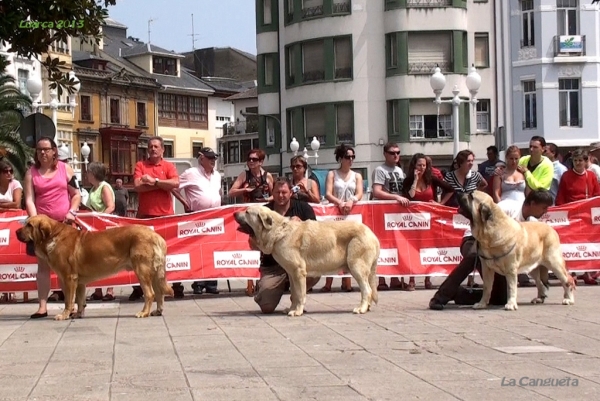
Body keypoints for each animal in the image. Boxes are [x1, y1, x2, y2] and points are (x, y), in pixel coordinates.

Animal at [17, 216, 171, 318]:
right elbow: (79, 300)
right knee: (159, 293)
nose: (17, 232)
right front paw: (78, 314)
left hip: (142, 271)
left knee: (150, 294)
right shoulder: (78, 281)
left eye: (29, 225)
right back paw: (158, 311)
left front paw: (65, 315)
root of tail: (156, 236)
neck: (53, 236)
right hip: (155, 273)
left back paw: (143, 312)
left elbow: (68, 300)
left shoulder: (68, 278)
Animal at [234, 206, 380, 316]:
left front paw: (297, 311)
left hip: (356, 266)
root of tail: (372, 234)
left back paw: (361, 308)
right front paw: (292, 309)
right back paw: (366, 307)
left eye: (247, 212)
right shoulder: (292, 274)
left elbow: (300, 293)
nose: (235, 213)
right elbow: (294, 293)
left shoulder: (298, 272)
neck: (278, 231)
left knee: (367, 290)